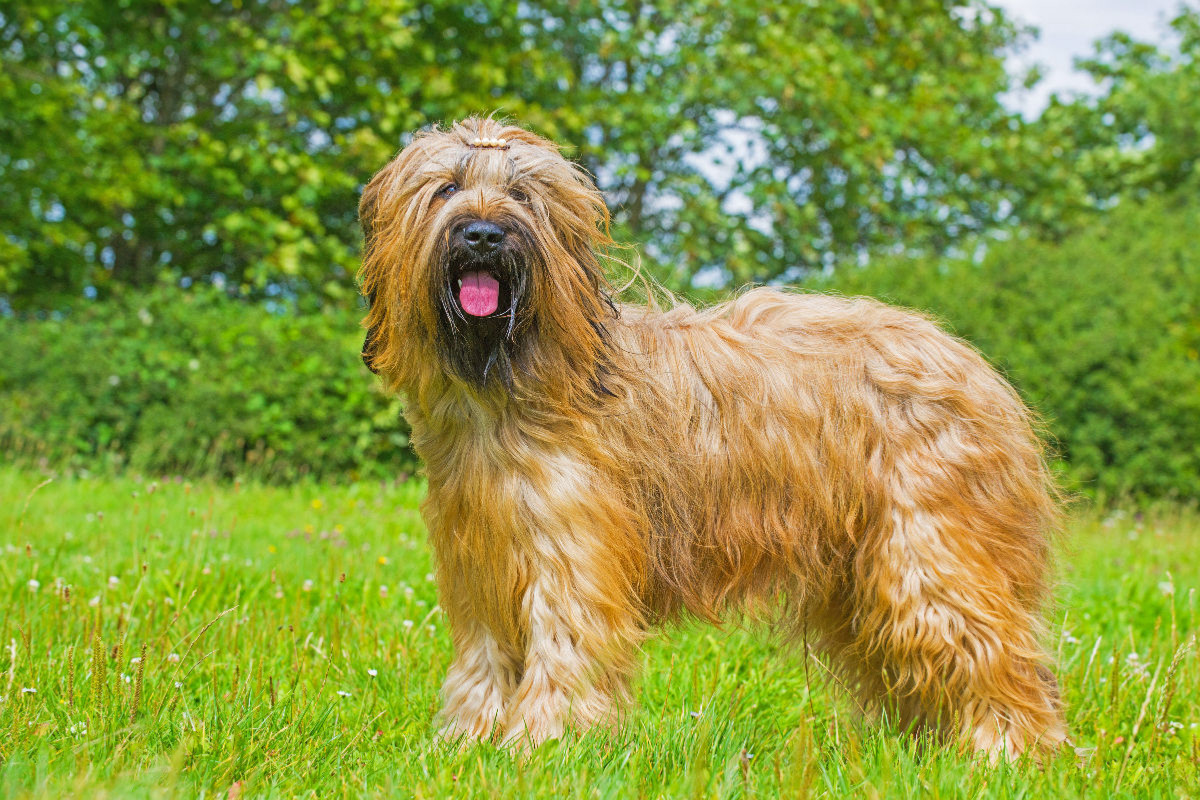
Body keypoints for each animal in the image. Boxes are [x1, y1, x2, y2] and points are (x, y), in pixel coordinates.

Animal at [357, 115, 1070, 762]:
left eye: (523, 195)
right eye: (447, 189)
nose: (484, 233)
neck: (507, 384)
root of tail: (974, 366)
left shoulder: (571, 547)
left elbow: (566, 641)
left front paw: (540, 742)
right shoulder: (476, 553)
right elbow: (483, 656)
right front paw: (465, 742)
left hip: (929, 550)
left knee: (994, 651)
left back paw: (1006, 751)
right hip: (859, 575)